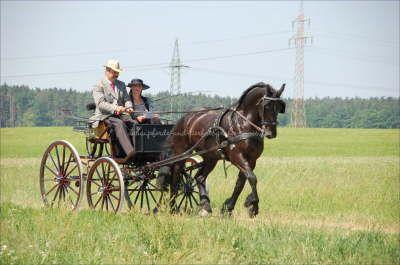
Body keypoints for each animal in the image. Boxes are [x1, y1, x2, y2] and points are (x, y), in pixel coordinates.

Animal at [167, 82, 286, 217]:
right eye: (267, 106)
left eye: (279, 107)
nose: (271, 133)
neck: (243, 124)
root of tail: (185, 117)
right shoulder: (237, 157)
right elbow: (252, 178)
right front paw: (253, 205)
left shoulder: (251, 160)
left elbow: (241, 183)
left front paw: (228, 208)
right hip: (181, 153)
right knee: (176, 177)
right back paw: (173, 207)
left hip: (210, 158)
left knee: (200, 177)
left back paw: (205, 206)